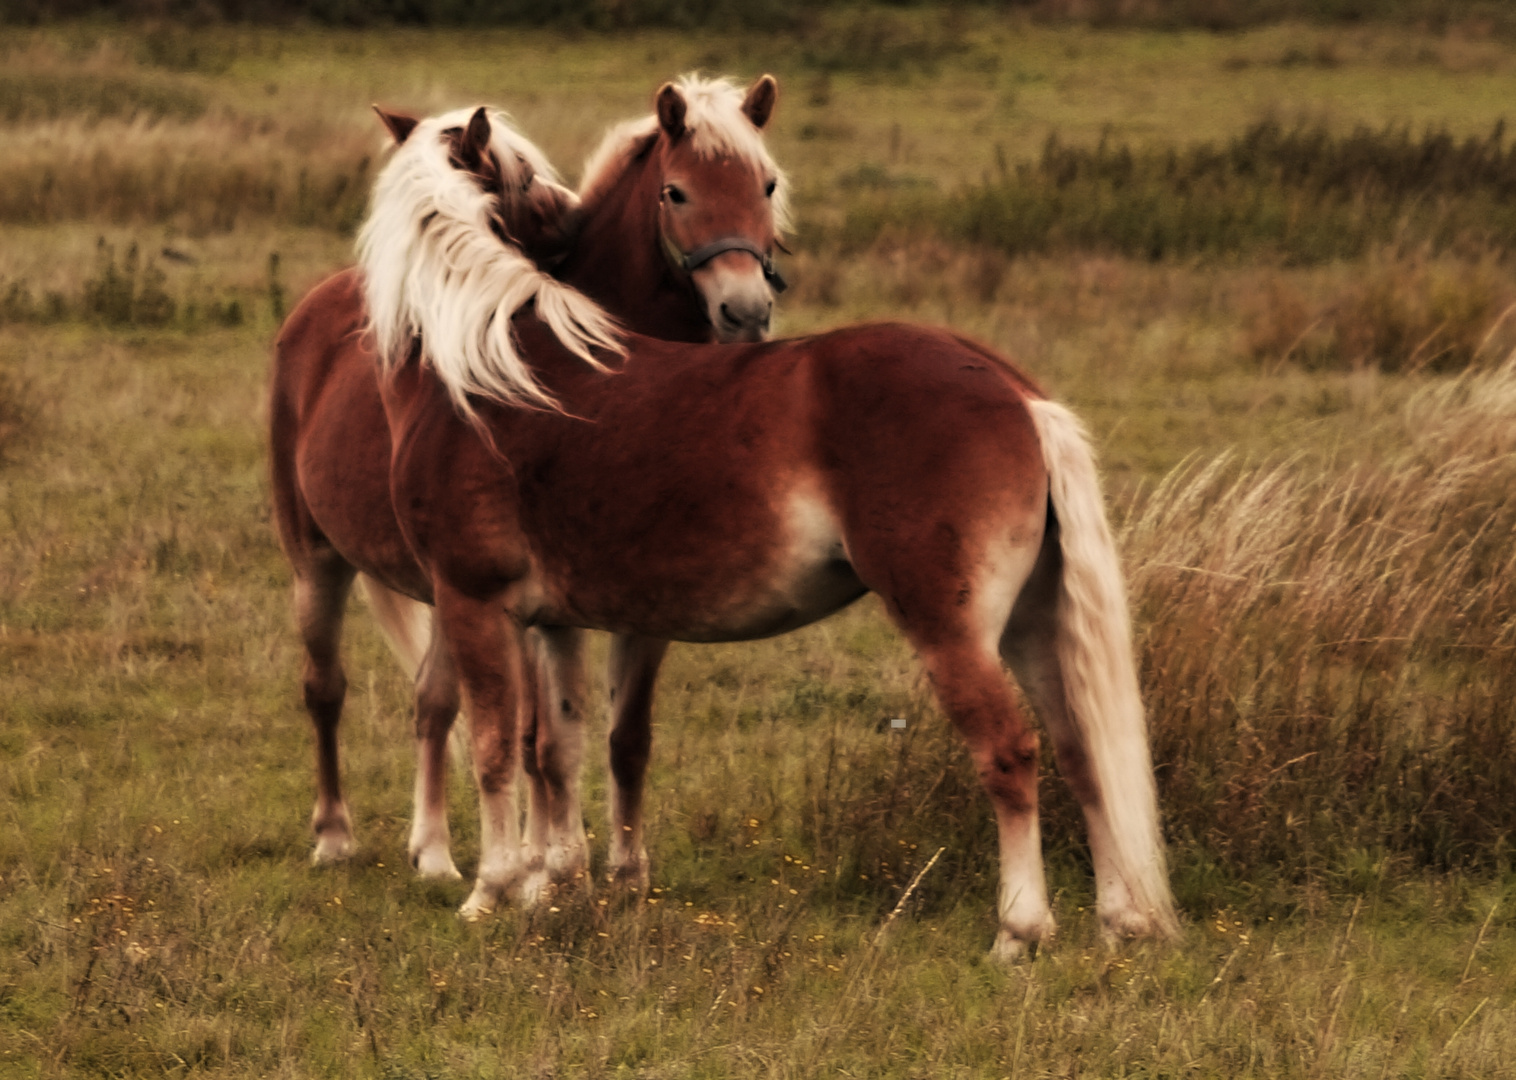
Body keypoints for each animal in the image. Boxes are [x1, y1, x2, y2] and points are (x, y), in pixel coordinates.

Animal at [274, 75, 794, 897]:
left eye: (766, 185)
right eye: (676, 192)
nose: (744, 312)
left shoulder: (633, 602)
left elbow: (619, 737)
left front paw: (615, 870)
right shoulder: (535, 608)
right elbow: (536, 739)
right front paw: (545, 868)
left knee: (432, 703)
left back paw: (433, 852)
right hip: (316, 560)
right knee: (325, 690)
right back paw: (335, 837)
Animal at [357, 90, 1182, 964]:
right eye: (534, 187)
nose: (565, 222)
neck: (482, 360)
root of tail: (1014, 392)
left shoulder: (473, 601)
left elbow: (492, 748)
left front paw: (491, 891)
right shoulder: (553, 620)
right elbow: (556, 748)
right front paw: (556, 886)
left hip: (953, 632)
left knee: (1010, 752)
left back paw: (1018, 931)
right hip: (1031, 623)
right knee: (1080, 749)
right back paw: (1120, 921)